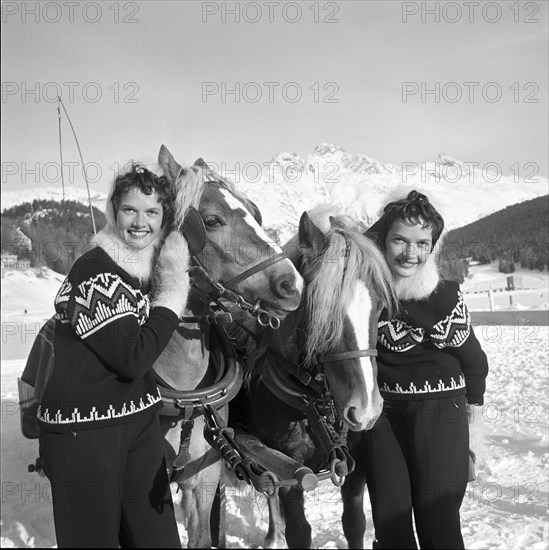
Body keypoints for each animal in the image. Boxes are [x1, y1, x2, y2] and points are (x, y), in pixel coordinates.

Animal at [153, 144, 304, 548]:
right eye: (211, 220)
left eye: (255, 212)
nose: (293, 284)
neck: (184, 394)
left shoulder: (203, 480)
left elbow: (202, 535)